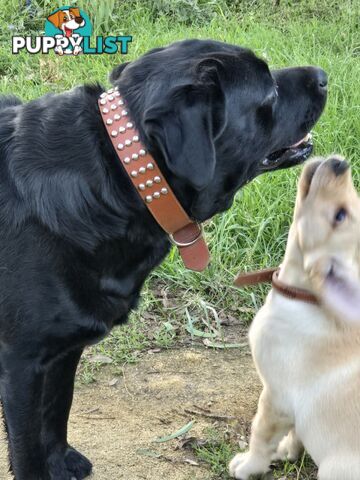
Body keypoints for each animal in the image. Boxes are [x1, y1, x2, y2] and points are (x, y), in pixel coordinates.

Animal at [0, 39, 326, 478]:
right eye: (270, 92)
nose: (323, 76)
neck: (123, 175)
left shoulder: (62, 349)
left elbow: (56, 411)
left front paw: (61, 461)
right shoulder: (21, 362)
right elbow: (28, 446)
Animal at [229, 157, 360, 480]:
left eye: (339, 216)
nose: (340, 163)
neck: (305, 296)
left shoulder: (275, 398)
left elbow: (260, 437)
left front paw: (248, 466)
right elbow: (296, 432)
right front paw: (287, 451)